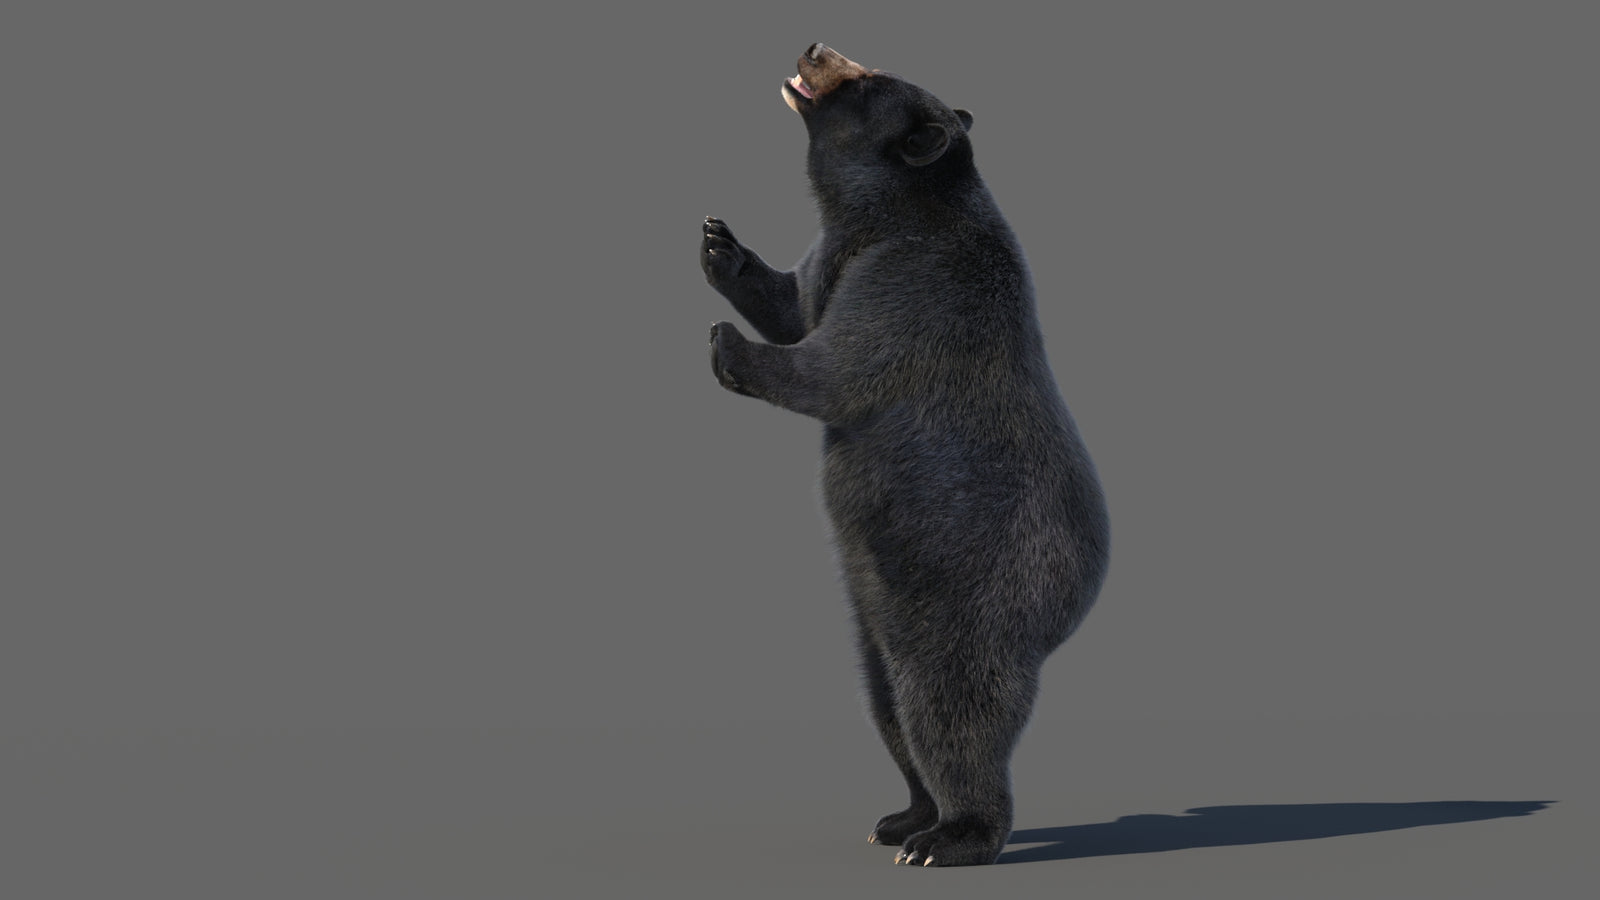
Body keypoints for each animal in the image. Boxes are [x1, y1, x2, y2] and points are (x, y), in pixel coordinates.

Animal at [700, 43, 1110, 868]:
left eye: (865, 78)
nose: (814, 47)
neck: (887, 212)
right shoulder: (836, 256)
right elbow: (797, 304)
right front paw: (721, 248)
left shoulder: (917, 280)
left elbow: (840, 365)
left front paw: (729, 346)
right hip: (874, 609)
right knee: (885, 701)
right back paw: (903, 816)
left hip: (976, 595)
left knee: (949, 710)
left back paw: (953, 836)